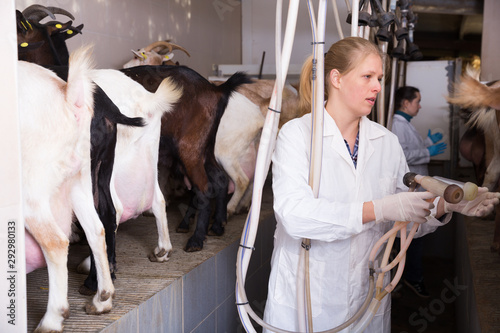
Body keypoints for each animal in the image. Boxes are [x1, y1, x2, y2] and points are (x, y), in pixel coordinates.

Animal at [19, 46, 114, 332]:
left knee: (56, 242)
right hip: (79, 179)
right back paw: (102, 299)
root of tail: (69, 98)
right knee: (96, 229)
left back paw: (52, 318)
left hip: (31, 191)